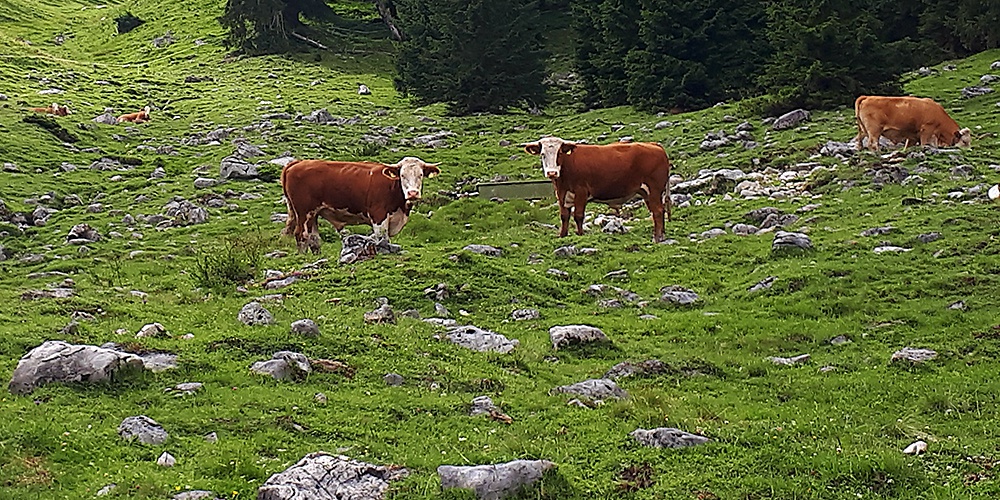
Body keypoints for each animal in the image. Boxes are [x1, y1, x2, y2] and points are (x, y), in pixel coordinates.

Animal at [280, 156, 440, 252]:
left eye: (421, 174)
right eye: (402, 175)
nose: (413, 193)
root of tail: (297, 163)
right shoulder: (378, 215)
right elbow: (382, 239)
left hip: (313, 213)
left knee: (314, 239)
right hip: (303, 211)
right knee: (301, 235)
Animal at [524, 137, 672, 242]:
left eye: (559, 153)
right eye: (542, 154)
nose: (552, 173)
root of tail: (654, 145)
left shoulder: (581, 191)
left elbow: (578, 216)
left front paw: (580, 235)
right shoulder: (562, 194)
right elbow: (564, 216)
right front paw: (562, 236)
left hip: (654, 189)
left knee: (658, 211)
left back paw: (657, 238)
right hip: (647, 192)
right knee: (658, 211)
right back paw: (662, 235)